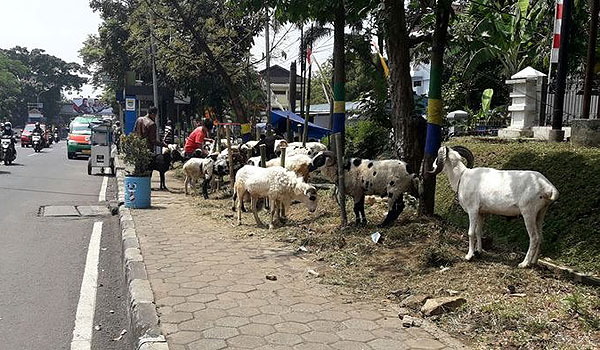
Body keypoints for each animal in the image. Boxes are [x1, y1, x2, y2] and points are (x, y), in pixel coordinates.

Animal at [428, 145, 560, 268]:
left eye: (437, 158)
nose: (432, 167)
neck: (461, 176)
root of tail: (549, 188)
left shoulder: (473, 211)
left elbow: (471, 232)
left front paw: (469, 256)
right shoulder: (481, 213)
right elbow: (478, 231)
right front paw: (479, 252)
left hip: (529, 213)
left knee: (534, 238)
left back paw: (524, 264)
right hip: (540, 214)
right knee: (541, 237)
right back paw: (533, 262)